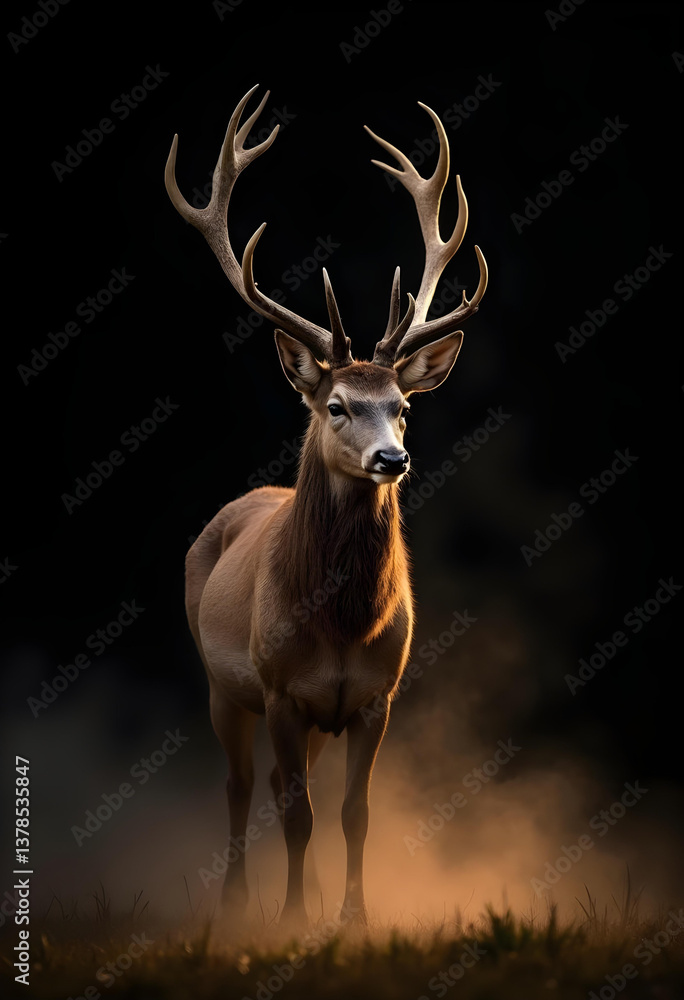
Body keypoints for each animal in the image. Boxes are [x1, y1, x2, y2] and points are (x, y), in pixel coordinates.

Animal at [165, 85, 487, 928]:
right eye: (337, 405)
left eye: (403, 405)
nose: (392, 459)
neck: (343, 627)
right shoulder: (280, 688)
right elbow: (296, 810)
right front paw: (288, 920)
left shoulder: (376, 694)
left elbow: (352, 813)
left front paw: (351, 919)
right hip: (221, 684)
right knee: (246, 787)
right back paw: (237, 905)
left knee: (288, 786)